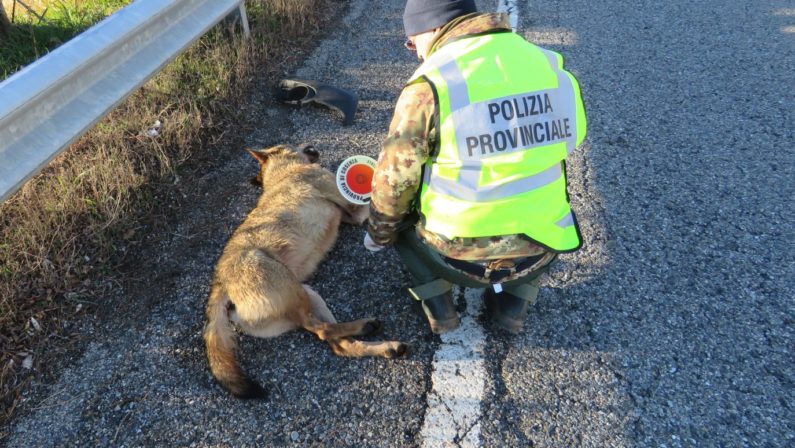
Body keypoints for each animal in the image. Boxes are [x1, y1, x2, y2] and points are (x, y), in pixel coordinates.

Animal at [205, 144, 410, 400]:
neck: (285, 171)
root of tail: (220, 284)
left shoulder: (351, 215)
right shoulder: (354, 209)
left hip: (309, 294)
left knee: (340, 345)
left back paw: (386, 347)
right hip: (293, 290)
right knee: (322, 330)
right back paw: (366, 327)